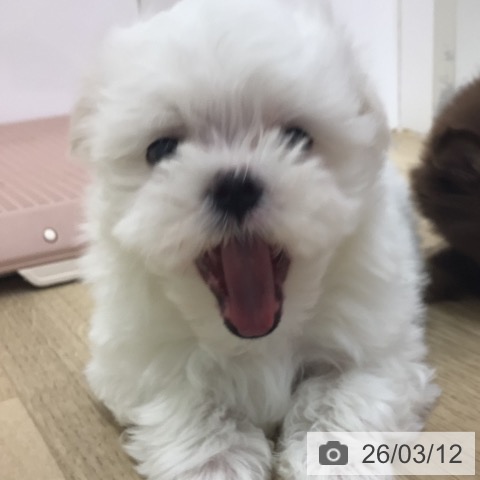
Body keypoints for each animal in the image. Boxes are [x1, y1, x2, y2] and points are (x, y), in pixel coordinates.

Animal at [71, 0, 438, 478]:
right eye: (161, 149)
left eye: (296, 138)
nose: (234, 186)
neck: (257, 341)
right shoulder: (137, 360)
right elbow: (186, 398)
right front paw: (216, 460)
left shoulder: (378, 348)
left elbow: (342, 393)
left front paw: (331, 460)